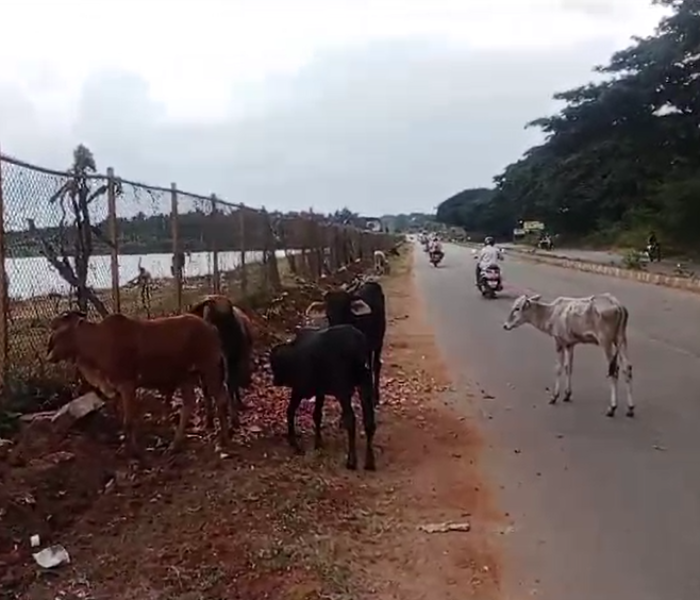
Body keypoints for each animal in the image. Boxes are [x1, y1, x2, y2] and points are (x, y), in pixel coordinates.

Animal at [270, 326, 378, 472]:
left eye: (274, 366)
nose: (275, 381)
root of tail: (359, 345)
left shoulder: (299, 390)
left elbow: (290, 411)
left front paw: (294, 443)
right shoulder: (319, 391)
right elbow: (317, 415)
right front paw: (318, 442)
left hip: (343, 390)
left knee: (351, 419)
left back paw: (351, 460)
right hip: (365, 384)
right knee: (369, 421)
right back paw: (369, 461)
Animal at [504, 292, 636, 418]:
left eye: (517, 308)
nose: (505, 325)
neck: (551, 314)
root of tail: (619, 306)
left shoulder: (559, 342)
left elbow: (558, 368)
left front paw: (554, 396)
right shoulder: (570, 344)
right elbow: (569, 367)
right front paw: (567, 394)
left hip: (605, 341)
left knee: (614, 370)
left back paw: (612, 408)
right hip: (621, 339)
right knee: (627, 367)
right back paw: (630, 408)